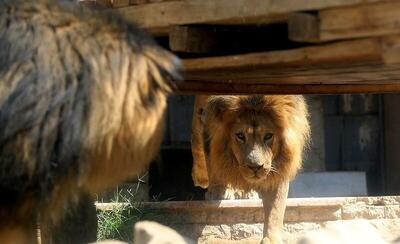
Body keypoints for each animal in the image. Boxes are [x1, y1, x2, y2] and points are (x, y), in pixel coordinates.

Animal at [192, 95, 310, 244]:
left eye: (268, 136)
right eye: (240, 136)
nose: (255, 167)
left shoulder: (278, 168)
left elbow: (275, 209)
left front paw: (271, 239)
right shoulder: (208, 120)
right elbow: (212, 160)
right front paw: (217, 192)